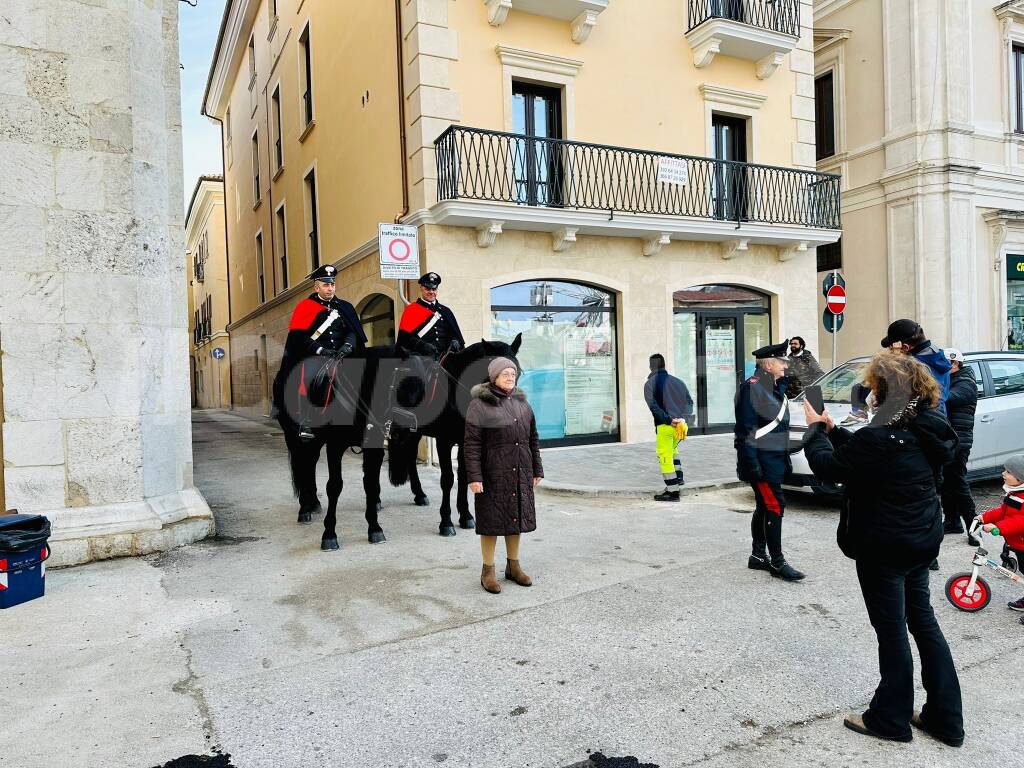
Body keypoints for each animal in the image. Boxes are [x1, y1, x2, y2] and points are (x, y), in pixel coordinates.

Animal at [387, 333, 524, 536]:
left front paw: (466, 516)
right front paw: (446, 522)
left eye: (517, 372)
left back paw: (419, 494)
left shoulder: (466, 440)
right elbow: (447, 479)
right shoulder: (444, 441)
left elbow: (465, 476)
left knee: (410, 456)